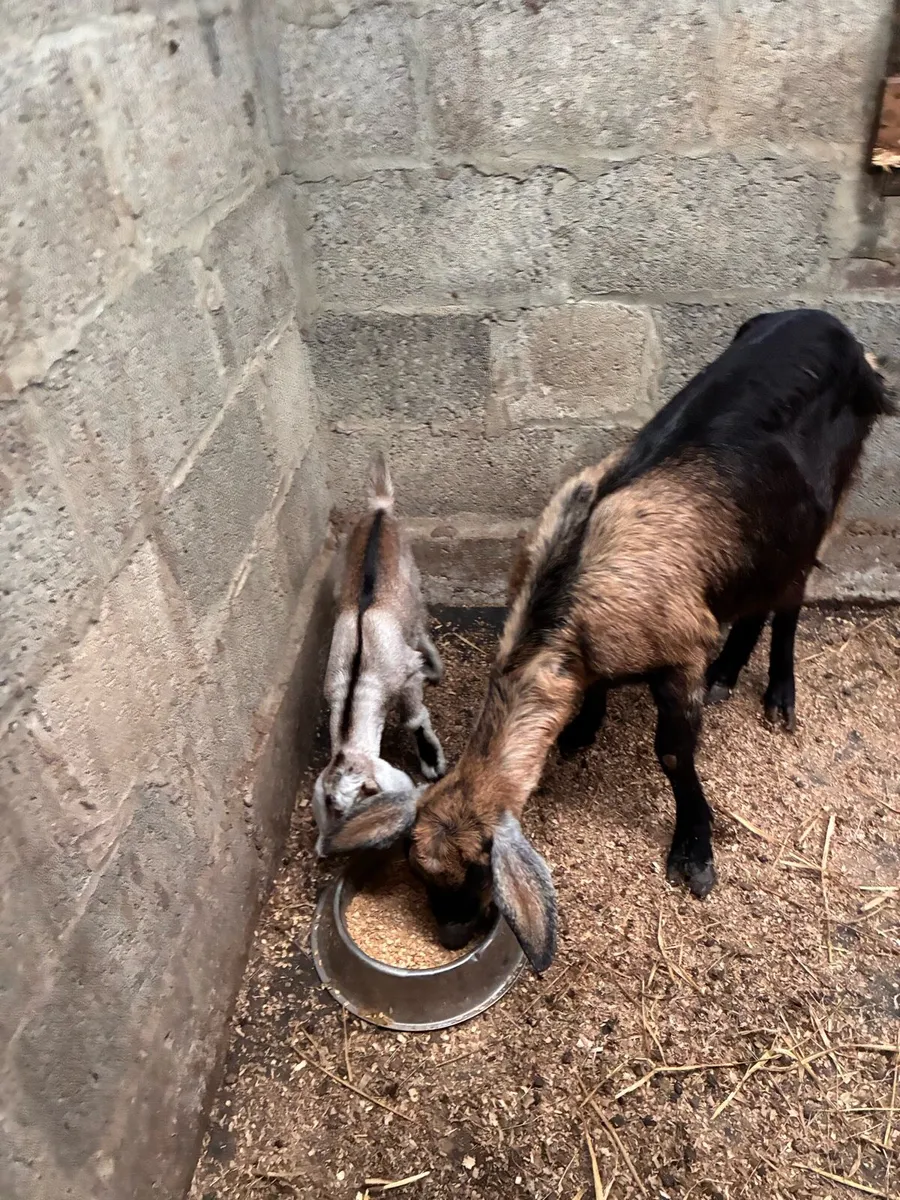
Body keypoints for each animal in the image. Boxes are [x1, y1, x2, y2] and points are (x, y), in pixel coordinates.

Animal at [312, 453, 446, 855]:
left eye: (366, 798)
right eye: (329, 808)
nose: (329, 847)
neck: (358, 683)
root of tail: (379, 508)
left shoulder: (406, 675)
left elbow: (415, 719)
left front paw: (432, 763)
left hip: (412, 581)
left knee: (418, 624)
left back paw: (435, 664)